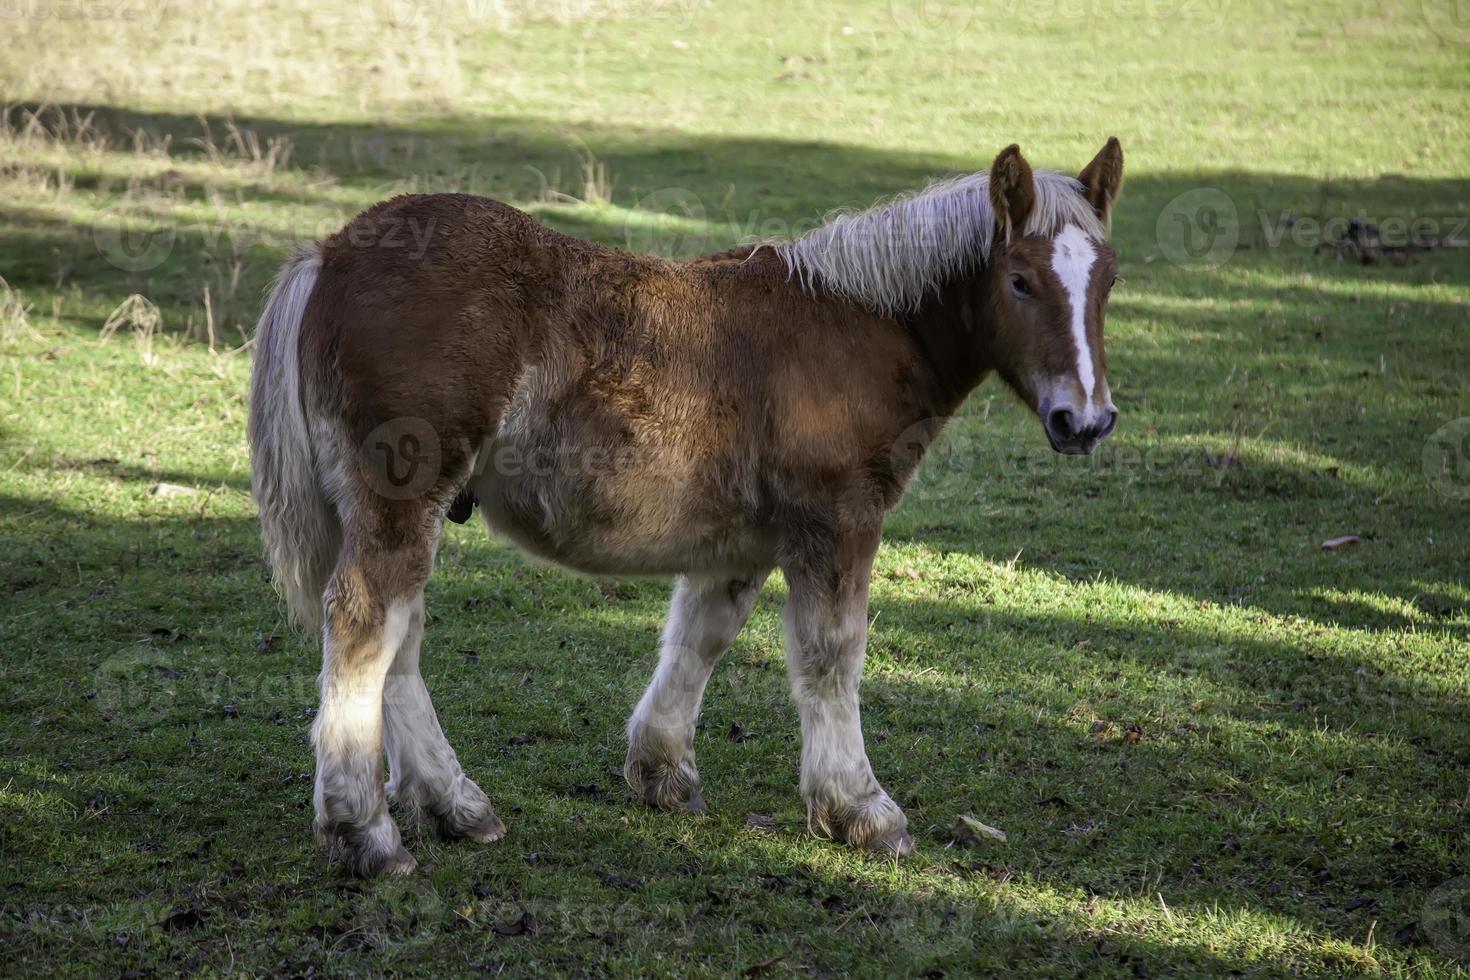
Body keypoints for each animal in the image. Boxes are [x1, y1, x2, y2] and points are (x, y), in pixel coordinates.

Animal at [249, 135, 1123, 875]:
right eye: (1020, 280)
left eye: (1108, 281)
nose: (1085, 421)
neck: (857, 329)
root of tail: (330, 252)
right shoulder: (837, 522)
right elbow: (832, 657)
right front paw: (863, 811)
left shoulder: (741, 543)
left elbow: (701, 640)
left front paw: (661, 773)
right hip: (399, 496)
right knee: (367, 622)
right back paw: (366, 834)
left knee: (399, 638)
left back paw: (456, 807)